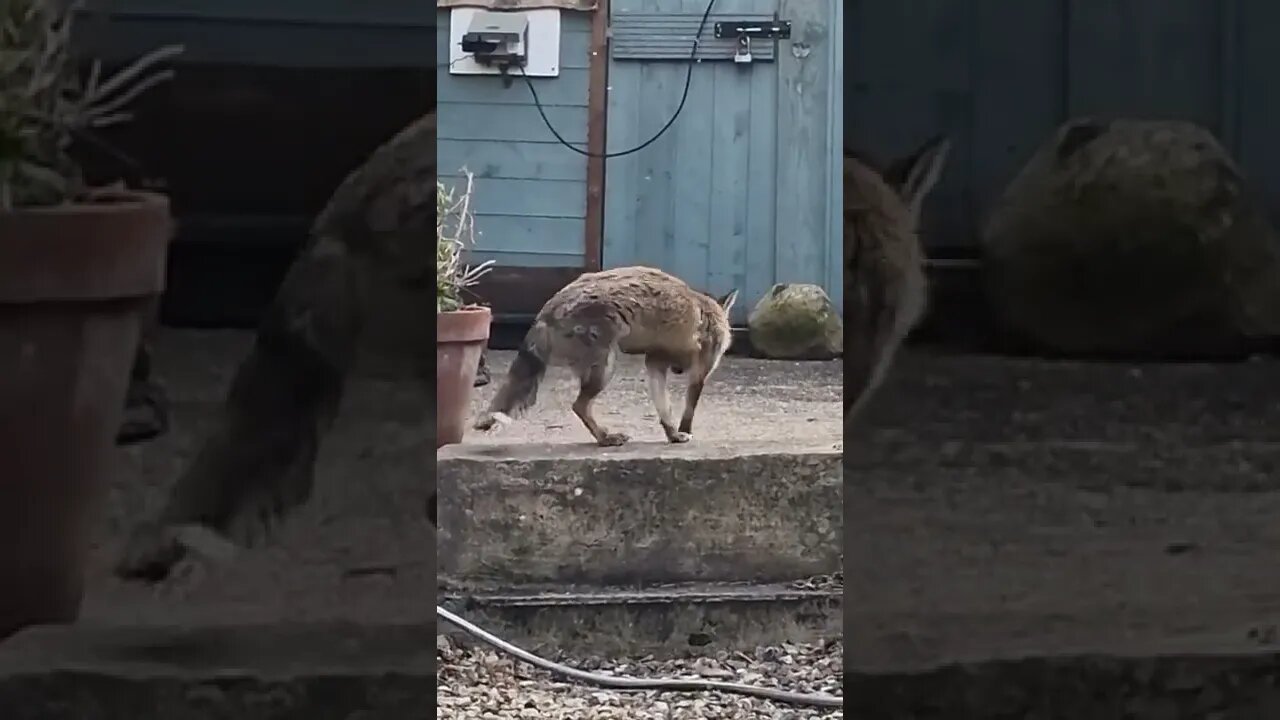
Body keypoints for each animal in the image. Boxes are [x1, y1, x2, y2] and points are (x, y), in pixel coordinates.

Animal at [476, 263, 742, 443]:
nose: (678, 369)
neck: (706, 312)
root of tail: (546, 312)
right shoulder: (701, 369)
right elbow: (690, 407)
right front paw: (685, 431)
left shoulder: (655, 361)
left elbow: (664, 408)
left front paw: (673, 434)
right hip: (606, 365)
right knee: (579, 405)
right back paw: (605, 438)